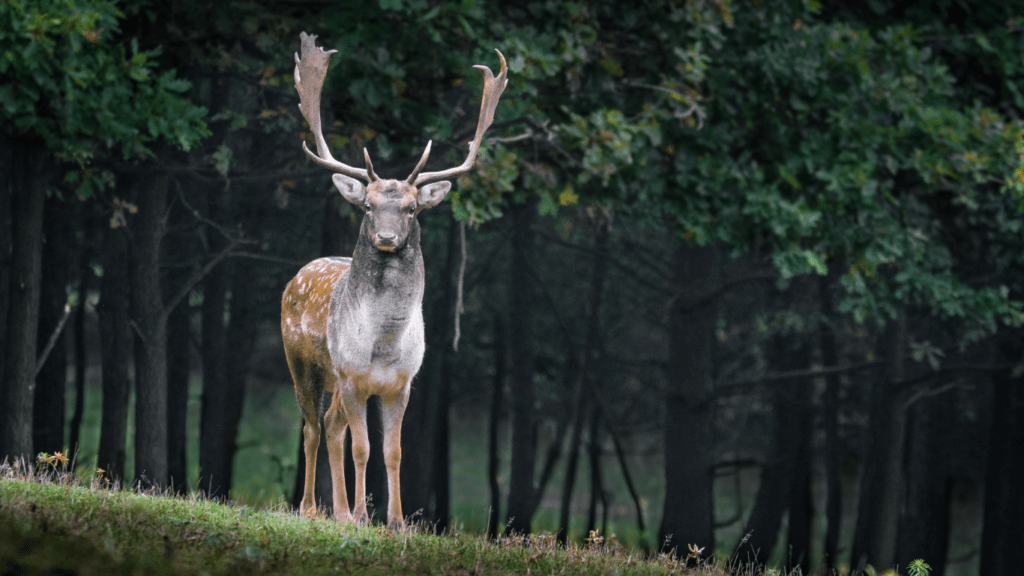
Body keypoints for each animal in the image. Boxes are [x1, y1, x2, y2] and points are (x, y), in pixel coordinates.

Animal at [280, 30, 507, 524]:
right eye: (367, 206)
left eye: (411, 208)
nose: (386, 236)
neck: (383, 346)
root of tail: (297, 275)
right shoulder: (351, 376)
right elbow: (363, 448)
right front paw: (365, 516)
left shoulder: (401, 384)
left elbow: (393, 452)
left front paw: (396, 521)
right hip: (303, 363)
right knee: (311, 427)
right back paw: (311, 509)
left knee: (331, 426)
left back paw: (339, 511)